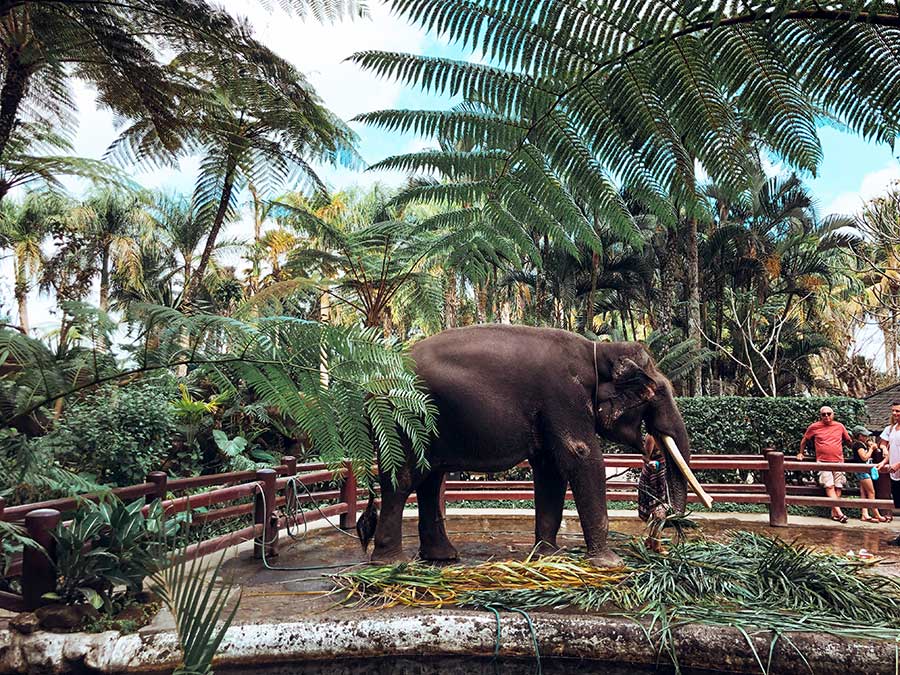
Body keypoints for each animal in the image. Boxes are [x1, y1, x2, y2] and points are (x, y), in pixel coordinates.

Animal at [356, 324, 709, 567]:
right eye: (654, 393)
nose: (660, 539)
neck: (598, 350)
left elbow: (551, 470)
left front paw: (548, 556)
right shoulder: (563, 394)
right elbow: (582, 456)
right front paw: (610, 564)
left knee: (430, 479)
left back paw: (442, 557)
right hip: (401, 420)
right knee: (404, 477)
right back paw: (392, 563)